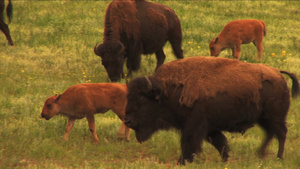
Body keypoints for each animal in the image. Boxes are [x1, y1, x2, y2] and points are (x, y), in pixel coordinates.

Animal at [123, 56, 298, 164]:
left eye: (141, 100)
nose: (127, 120)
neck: (167, 91)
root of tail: (278, 74)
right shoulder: (210, 128)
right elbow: (220, 143)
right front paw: (225, 160)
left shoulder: (194, 125)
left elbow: (189, 143)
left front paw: (182, 161)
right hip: (263, 119)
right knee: (271, 134)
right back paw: (260, 155)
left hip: (275, 118)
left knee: (281, 134)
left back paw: (279, 157)